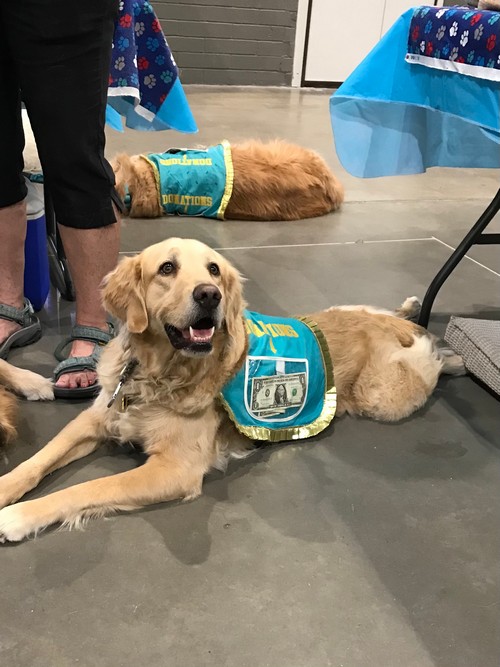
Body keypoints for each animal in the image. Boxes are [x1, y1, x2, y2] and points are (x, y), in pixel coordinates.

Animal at [0, 238, 464, 542]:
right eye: (166, 268)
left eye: (214, 270)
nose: (210, 295)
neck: (156, 373)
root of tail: (392, 326)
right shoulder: (96, 418)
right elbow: (38, 461)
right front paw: (8, 489)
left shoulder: (175, 468)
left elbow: (87, 488)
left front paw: (18, 516)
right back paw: (413, 311)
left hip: (383, 394)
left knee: (429, 358)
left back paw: (453, 354)